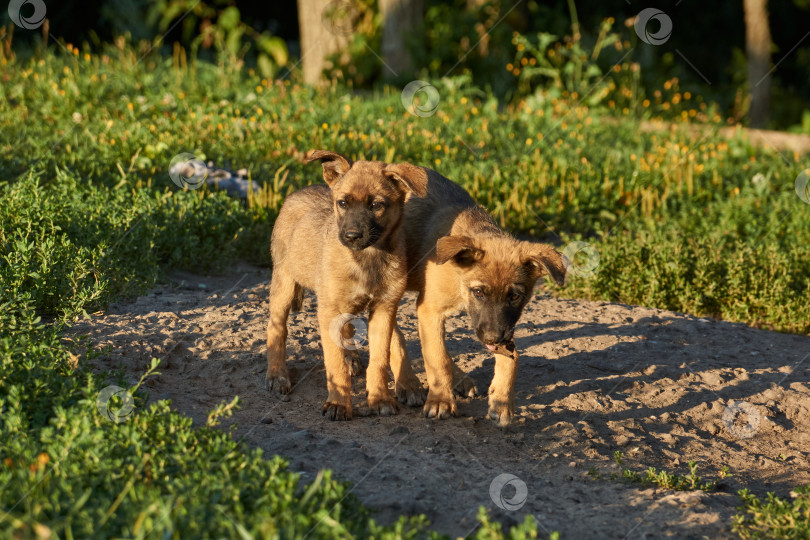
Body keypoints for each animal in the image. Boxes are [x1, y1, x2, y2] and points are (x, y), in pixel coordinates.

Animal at [266, 150, 430, 420]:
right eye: (342, 203)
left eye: (377, 205)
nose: (352, 236)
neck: (367, 259)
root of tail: (300, 191)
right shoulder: (329, 309)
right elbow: (334, 364)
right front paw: (339, 404)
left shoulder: (384, 308)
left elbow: (380, 358)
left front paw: (380, 398)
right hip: (284, 284)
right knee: (276, 330)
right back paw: (277, 375)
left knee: (366, 333)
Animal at [388, 169, 564, 426]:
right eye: (479, 292)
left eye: (515, 296)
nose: (492, 338)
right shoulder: (429, 309)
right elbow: (437, 358)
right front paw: (440, 401)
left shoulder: (504, 326)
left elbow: (512, 358)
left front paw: (501, 401)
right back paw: (407, 384)